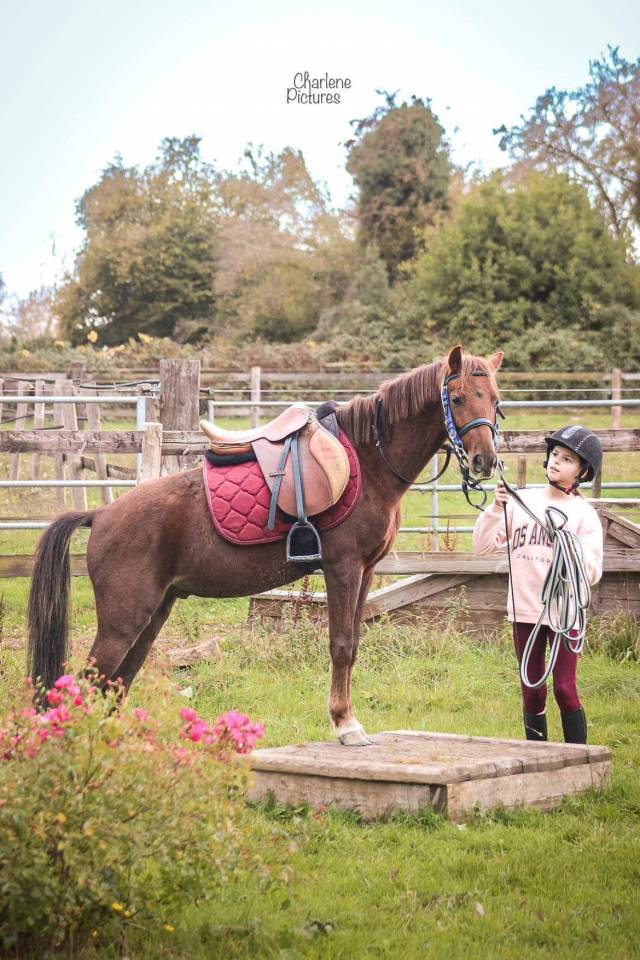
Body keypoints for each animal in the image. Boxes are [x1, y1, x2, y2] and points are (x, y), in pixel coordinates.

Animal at [28, 345, 504, 746]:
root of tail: (102, 516)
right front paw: (345, 724)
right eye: (458, 398)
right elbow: (341, 645)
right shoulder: (343, 568)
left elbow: (353, 644)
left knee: (115, 684)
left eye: (496, 400)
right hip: (123, 621)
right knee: (88, 683)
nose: (485, 461)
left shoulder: (366, 572)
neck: (369, 460)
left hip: (152, 615)